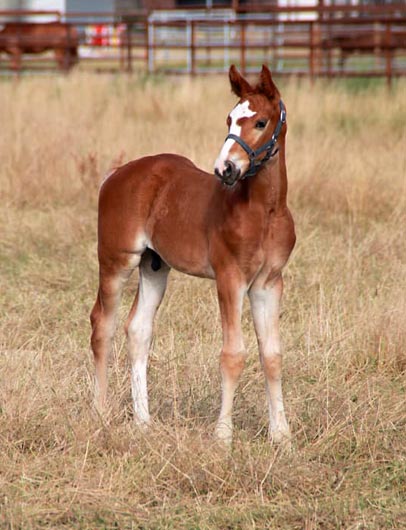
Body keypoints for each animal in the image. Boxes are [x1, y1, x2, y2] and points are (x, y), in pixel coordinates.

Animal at [91, 66, 294, 446]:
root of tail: (115, 174)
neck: (265, 211)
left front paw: (282, 436)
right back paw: (99, 412)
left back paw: (144, 421)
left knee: (138, 329)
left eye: (260, 122)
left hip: (154, 266)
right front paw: (223, 436)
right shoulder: (230, 278)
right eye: (229, 119)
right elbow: (233, 354)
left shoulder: (269, 283)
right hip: (117, 260)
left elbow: (272, 354)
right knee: (103, 325)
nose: (225, 168)